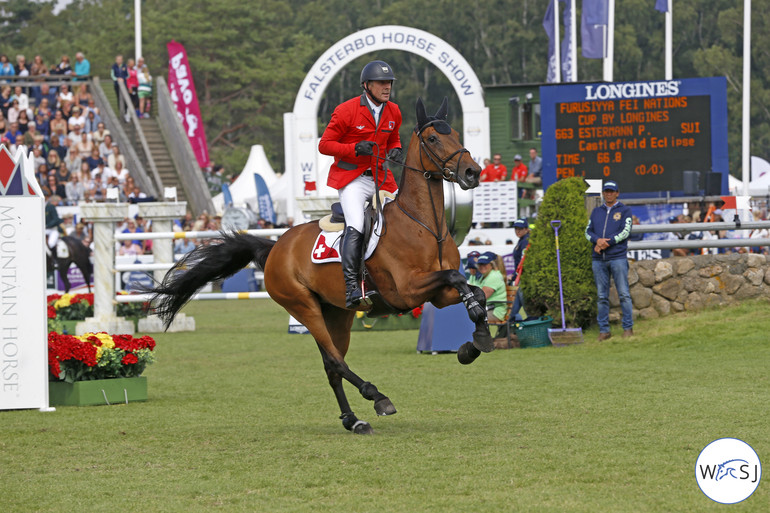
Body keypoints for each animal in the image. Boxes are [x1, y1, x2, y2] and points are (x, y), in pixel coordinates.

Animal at [148, 98, 492, 434]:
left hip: (337, 313)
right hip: (304, 307)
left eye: (457, 134)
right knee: (336, 361)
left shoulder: (435, 294)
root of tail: (276, 247)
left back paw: (354, 420)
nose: (473, 173)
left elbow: (470, 288)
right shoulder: (407, 291)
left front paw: (476, 341)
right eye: (433, 138)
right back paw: (377, 398)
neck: (424, 225)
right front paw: (476, 334)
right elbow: (455, 277)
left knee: (332, 364)